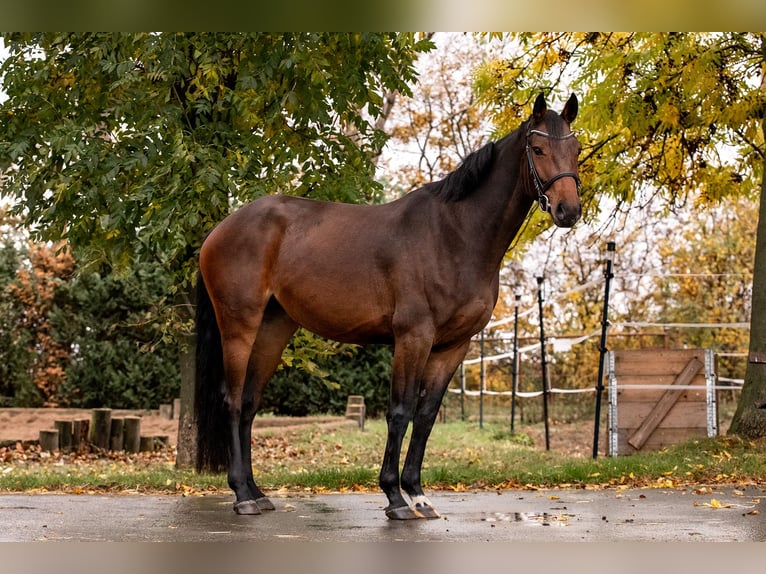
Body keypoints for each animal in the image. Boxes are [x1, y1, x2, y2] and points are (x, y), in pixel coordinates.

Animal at [194, 93, 582, 519]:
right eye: (538, 149)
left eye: (577, 149)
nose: (568, 210)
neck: (455, 234)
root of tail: (219, 230)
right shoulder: (413, 338)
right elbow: (399, 411)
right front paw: (395, 497)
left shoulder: (453, 346)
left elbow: (426, 416)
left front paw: (418, 494)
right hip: (239, 326)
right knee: (232, 401)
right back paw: (241, 495)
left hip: (273, 330)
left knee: (249, 404)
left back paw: (256, 491)